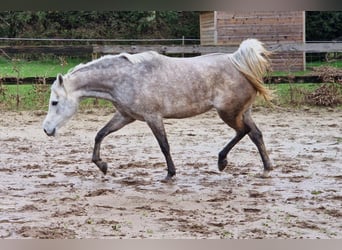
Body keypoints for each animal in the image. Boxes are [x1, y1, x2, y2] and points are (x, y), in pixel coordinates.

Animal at [42, 38, 272, 181]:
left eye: (54, 102)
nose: (46, 130)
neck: (124, 78)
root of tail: (238, 62)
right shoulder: (125, 116)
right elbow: (100, 134)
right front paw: (102, 165)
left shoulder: (153, 117)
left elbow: (164, 146)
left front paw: (170, 174)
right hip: (242, 112)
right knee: (256, 134)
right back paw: (267, 169)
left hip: (228, 113)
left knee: (243, 131)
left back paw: (222, 161)